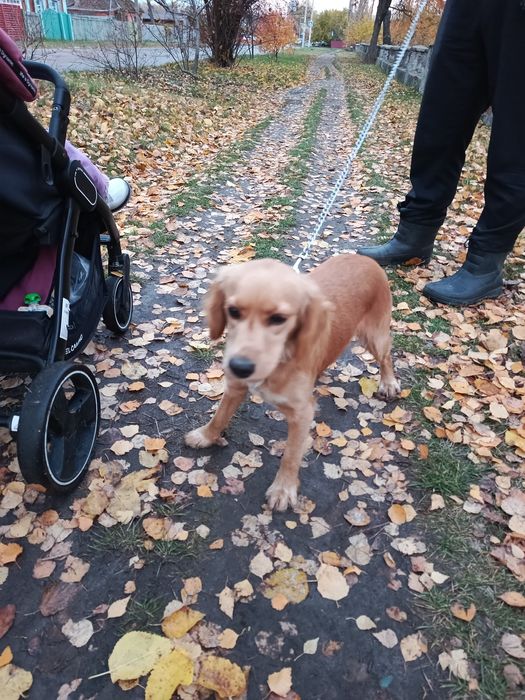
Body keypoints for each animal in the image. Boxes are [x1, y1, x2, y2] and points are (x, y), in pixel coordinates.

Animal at [185, 254, 400, 511]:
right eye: (233, 311)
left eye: (279, 319)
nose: (240, 367)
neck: (280, 359)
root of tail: (363, 257)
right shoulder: (236, 387)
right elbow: (219, 416)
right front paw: (206, 436)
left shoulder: (302, 413)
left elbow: (291, 454)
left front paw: (283, 489)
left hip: (374, 336)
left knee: (386, 357)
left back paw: (389, 383)